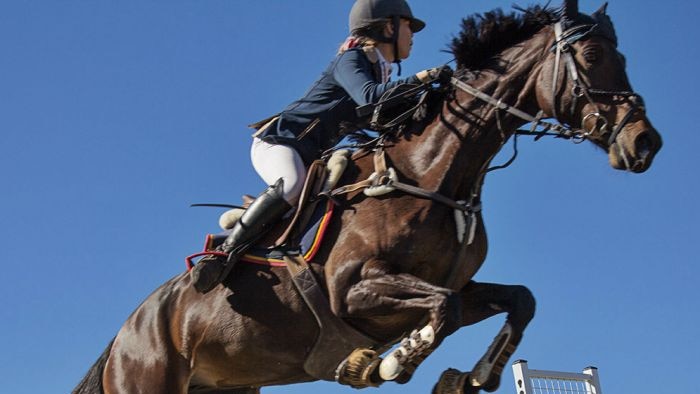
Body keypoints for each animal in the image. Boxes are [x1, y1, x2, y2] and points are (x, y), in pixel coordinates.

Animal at [72, 3, 660, 394]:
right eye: (591, 54)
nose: (645, 143)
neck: (436, 173)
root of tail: (127, 331)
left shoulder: (458, 285)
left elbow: (518, 300)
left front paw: (472, 376)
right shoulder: (353, 289)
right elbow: (441, 312)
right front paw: (388, 364)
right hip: (149, 378)